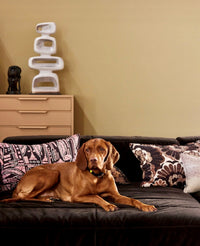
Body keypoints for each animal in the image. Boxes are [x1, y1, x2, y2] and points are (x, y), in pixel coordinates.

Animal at [2, 138, 156, 211]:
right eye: (87, 150)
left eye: (101, 149)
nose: (93, 160)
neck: (96, 177)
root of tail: (19, 182)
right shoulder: (77, 196)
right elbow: (95, 196)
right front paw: (108, 205)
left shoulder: (115, 195)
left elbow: (132, 200)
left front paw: (145, 206)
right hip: (52, 173)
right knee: (23, 197)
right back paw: (46, 200)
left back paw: (48, 198)